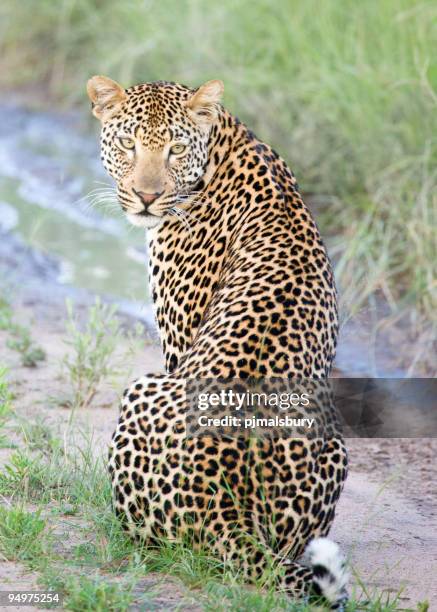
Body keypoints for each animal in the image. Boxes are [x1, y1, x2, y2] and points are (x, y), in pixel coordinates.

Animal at [87, 74, 348, 604]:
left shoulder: (176, 340)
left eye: (174, 149)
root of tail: (229, 514)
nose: (146, 197)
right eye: (128, 145)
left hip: (141, 388)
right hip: (335, 444)